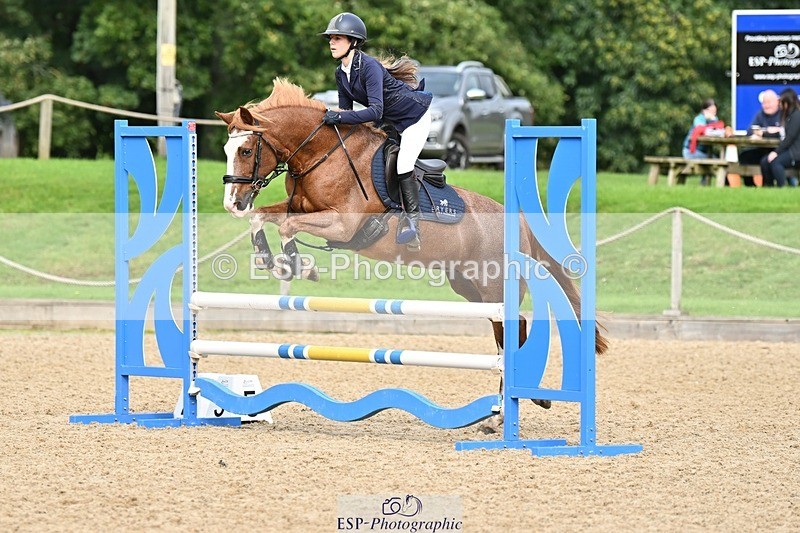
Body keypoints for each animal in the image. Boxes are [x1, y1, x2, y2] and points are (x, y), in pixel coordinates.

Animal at [214, 79, 608, 406]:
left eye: (246, 151)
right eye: (226, 150)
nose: (231, 203)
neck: (321, 154)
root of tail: (519, 222)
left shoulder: (342, 225)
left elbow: (288, 228)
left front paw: (300, 266)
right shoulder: (298, 207)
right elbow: (263, 217)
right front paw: (269, 260)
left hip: (492, 286)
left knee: (514, 328)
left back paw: (515, 405)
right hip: (469, 287)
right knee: (506, 330)